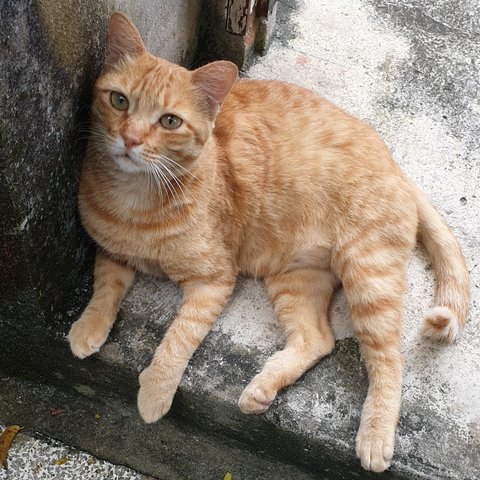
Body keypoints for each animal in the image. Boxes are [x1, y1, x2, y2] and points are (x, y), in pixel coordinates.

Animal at [69, 12, 470, 472]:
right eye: (119, 101)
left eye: (169, 121)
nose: (130, 139)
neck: (136, 201)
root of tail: (397, 167)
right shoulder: (111, 250)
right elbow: (105, 286)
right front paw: (89, 326)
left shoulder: (213, 281)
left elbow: (178, 337)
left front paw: (155, 391)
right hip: (295, 279)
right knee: (317, 339)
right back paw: (260, 390)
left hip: (368, 276)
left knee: (389, 358)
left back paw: (374, 436)